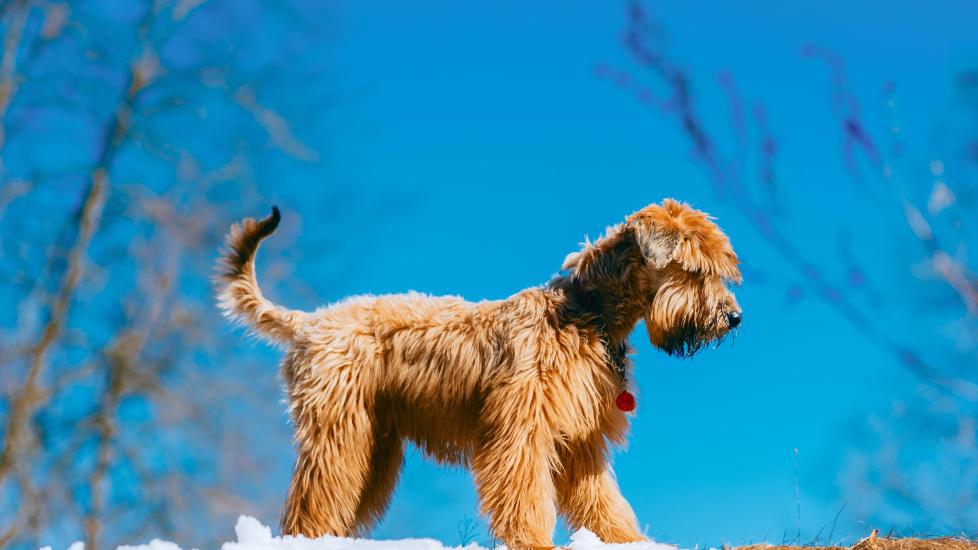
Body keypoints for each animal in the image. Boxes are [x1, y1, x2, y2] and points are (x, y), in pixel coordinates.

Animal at [215, 201, 740, 548]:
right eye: (695, 270)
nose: (734, 317)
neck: (588, 312)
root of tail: (309, 323)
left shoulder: (580, 440)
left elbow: (601, 499)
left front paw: (625, 539)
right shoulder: (522, 427)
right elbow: (525, 493)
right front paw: (534, 542)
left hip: (374, 443)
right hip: (339, 433)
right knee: (315, 497)